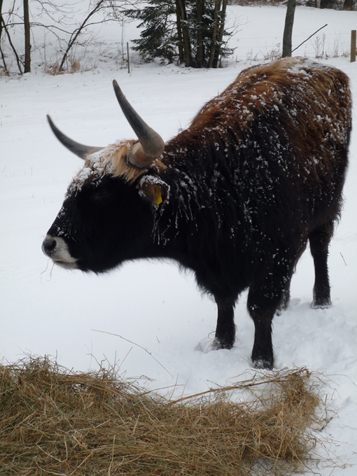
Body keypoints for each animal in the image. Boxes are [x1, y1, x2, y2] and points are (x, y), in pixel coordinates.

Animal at [41, 55, 350, 368]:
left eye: (102, 192)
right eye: (73, 188)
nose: (50, 244)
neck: (220, 183)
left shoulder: (275, 251)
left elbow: (259, 307)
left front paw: (262, 359)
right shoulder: (217, 265)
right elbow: (224, 302)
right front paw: (221, 344)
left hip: (328, 208)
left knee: (319, 248)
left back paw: (321, 299)